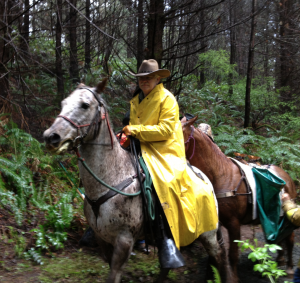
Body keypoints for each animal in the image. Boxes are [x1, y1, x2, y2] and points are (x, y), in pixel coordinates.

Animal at [42, 79, 230, 283]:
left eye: (85, 105)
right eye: (63, 103)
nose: (51, 137)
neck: (111, 179)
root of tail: (204, 178)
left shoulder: (124, 240)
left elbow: (114, 274)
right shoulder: (102, 238)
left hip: (208, 234)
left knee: (219, 256)